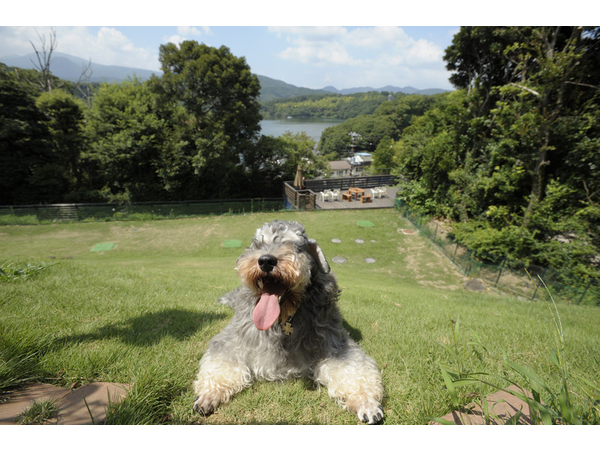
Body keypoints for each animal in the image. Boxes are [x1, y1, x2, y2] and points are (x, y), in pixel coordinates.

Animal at [193, 220, 384, 424]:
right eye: (258, 243)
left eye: (296, 245)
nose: (266, 260)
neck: (283, 319)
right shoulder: (229, 341)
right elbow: (221, 364)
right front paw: (208, 394)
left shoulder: (337, 345)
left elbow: (353, 370)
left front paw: (367, 402)